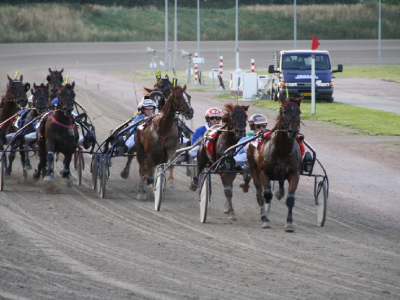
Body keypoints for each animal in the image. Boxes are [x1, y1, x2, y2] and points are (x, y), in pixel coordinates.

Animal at [247, 96, 304, 232]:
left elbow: (290, 199)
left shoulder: (294, 174)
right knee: (260, 194)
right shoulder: (263, 172)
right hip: (254, 169)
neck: (283, 150)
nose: (293, 130)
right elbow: (266, 194)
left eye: (299, 112)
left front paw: (289, 224)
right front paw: (265, 219)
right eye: (284, 111)